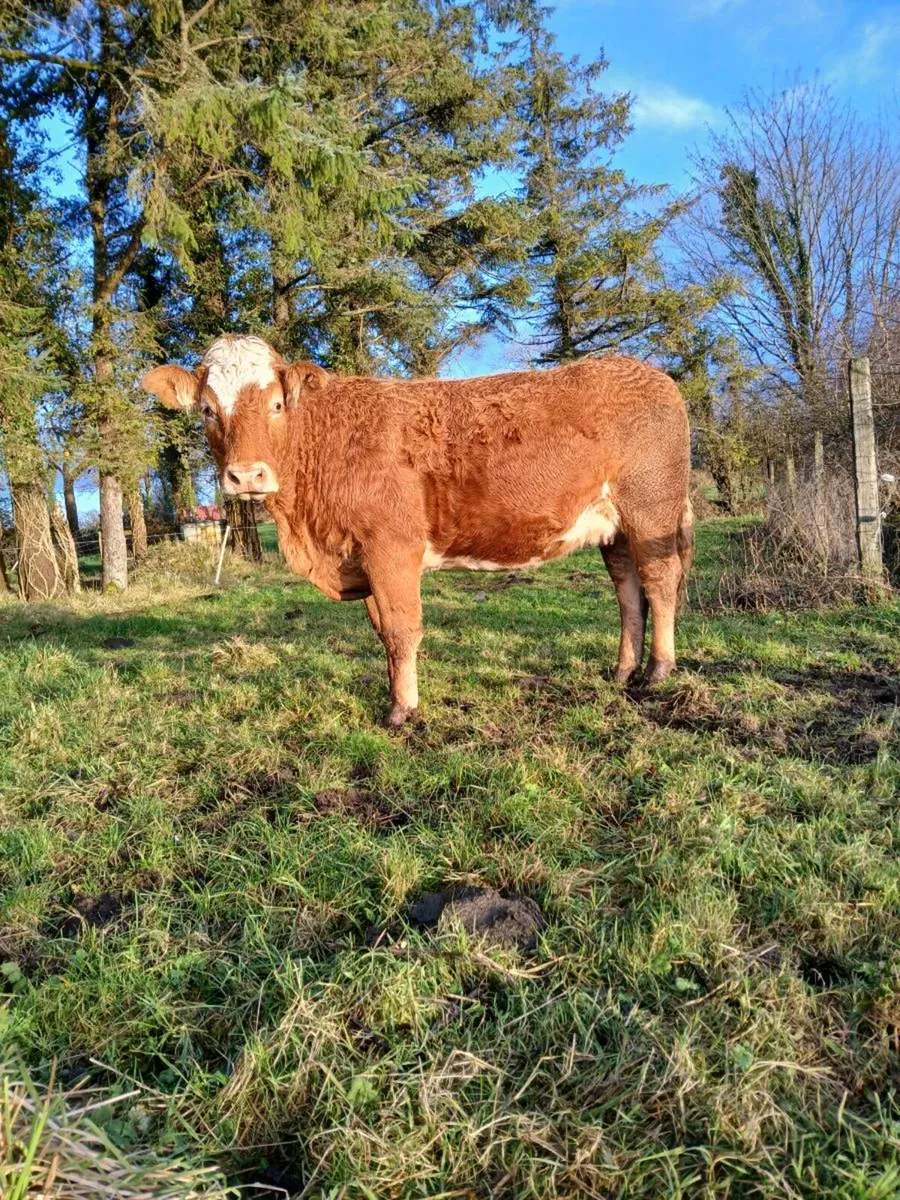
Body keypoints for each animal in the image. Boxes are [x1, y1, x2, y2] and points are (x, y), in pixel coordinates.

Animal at [142, 336, 693, 727]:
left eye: (277, 404)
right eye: (208, 410)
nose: (246, 476)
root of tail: (650, 373)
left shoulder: (391, 548)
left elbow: (402, 630)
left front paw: (403, 711)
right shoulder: (362, 556)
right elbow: (383, 632)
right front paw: (395, 697)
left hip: (650, 510)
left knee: (660, 581)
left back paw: (658, 672)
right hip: (614, 528)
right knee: (628, 591)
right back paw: (622, 672)